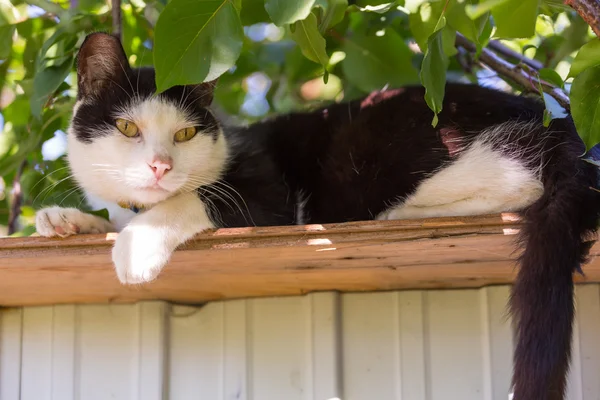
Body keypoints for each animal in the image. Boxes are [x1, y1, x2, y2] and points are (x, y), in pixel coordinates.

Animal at [36, 32, 600, 400]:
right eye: (128, 128)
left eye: (186, 134)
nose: (160, 166)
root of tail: (557, 122)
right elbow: (119, 215)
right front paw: (68, 220)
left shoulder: (268, 195)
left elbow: (195, 198)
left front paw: (136, 249)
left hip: (388, 148)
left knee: (518, 182)